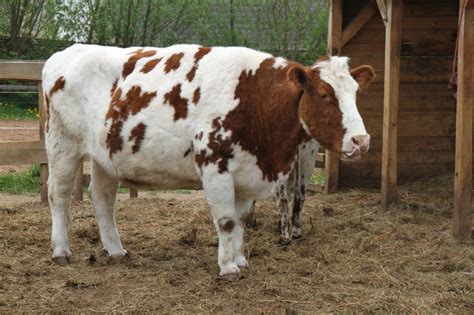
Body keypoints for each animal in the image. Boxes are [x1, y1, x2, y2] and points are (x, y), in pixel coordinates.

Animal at [41, 44, 374, 276]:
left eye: (356, 92)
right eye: (324, 94)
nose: (361, 140)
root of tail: (69, 51)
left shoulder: (245, 172)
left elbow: (239, 221)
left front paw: (240, 260)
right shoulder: (216, 166)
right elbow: (226, 221)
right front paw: (227, 267)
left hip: (105, 155)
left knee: (103, 198)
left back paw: (115, 250)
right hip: (62, 143)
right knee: (59, 195)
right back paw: (61, 251)